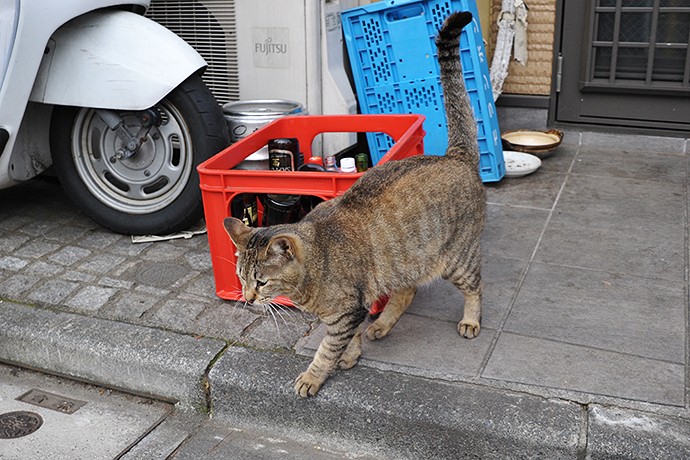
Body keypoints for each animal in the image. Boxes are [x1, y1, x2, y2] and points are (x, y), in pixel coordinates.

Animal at [224, 12, 484, 398]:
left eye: (262, 281)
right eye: (241, 278)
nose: (247, 298)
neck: (315, 269)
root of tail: (455, 155)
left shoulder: (347, 310)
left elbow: (327, 348)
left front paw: (314, 376)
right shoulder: (355, 308)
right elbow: (349, 338)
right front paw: (352, 354)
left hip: (457, 260)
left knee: (475, 286)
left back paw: (470, 320)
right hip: (403, 262)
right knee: (406, 292)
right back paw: (382, 326)